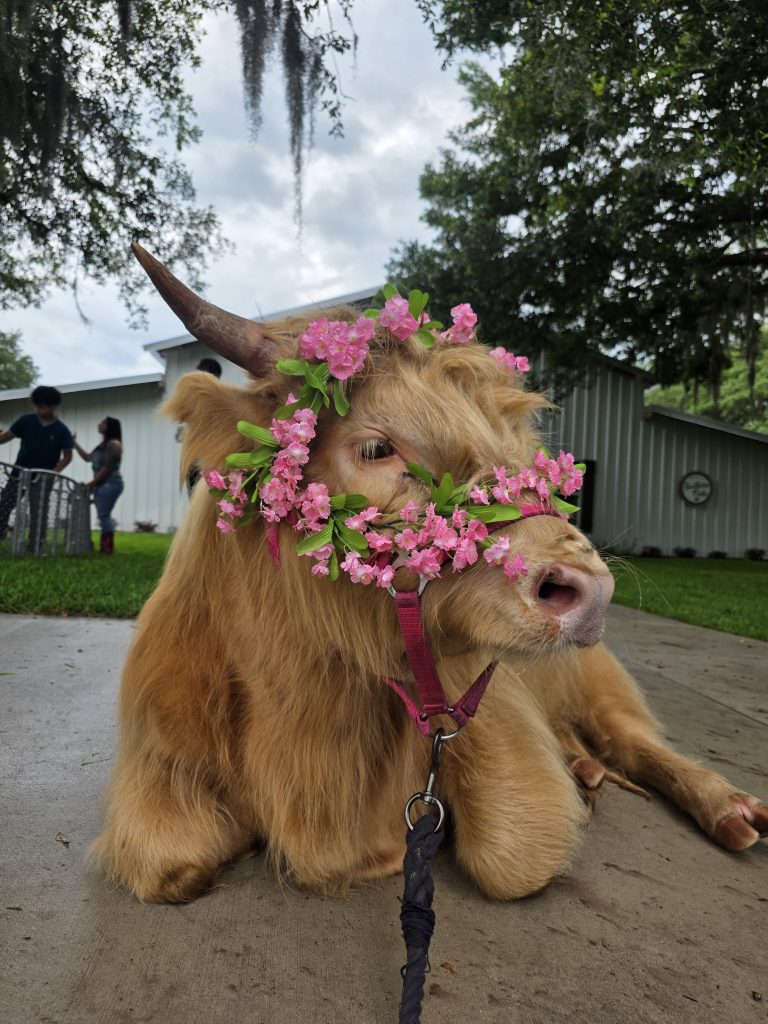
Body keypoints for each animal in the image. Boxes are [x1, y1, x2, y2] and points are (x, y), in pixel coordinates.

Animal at [92, 244, 767, 904]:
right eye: (375, 447)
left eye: (530, 451)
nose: (591, 589)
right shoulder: (159, 760)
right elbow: (169, 866)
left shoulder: (493, 721)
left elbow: (514, 855)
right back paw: (586, 769)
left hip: (596, 678)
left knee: (633, 739)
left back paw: (725, 806)